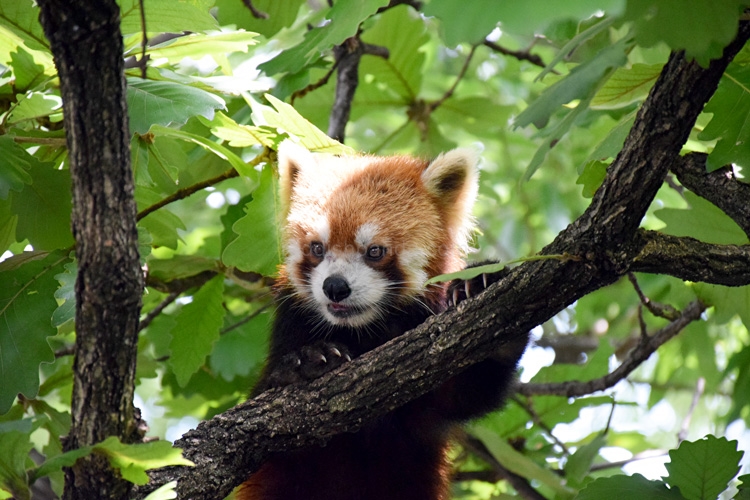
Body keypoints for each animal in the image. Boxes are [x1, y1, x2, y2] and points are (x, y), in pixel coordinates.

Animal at [239, 141, 528, 500]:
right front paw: (308, 362)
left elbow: (464, 392)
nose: (334, 287)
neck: (365, 332)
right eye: (317, 248)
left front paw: (480, 286)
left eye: (375, 251)